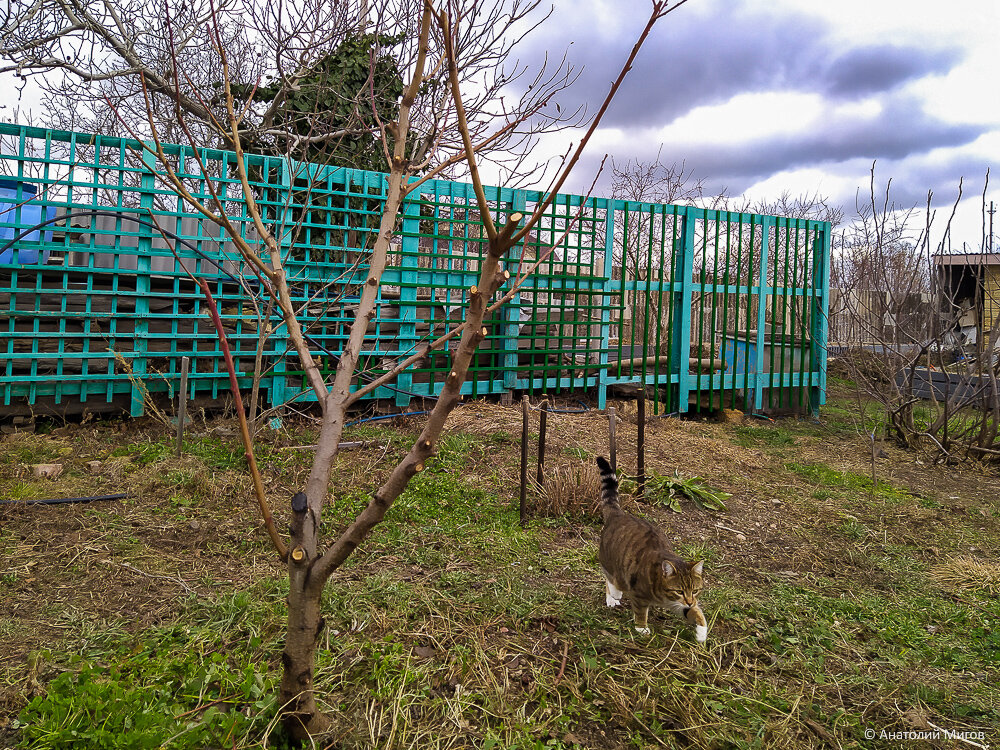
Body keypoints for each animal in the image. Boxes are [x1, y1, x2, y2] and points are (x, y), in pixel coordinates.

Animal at [592, 456, 712, 644]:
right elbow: (641, 612)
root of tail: (618, 514)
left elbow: (696, 613)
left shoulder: (682, 604)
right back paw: (614, 595)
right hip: (610, 561)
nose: (690, 601)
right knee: (610, 578)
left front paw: (701, 632)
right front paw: (642, 628)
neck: (665, 595)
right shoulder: (640, 595)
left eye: (695, 590)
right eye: (679, 591)